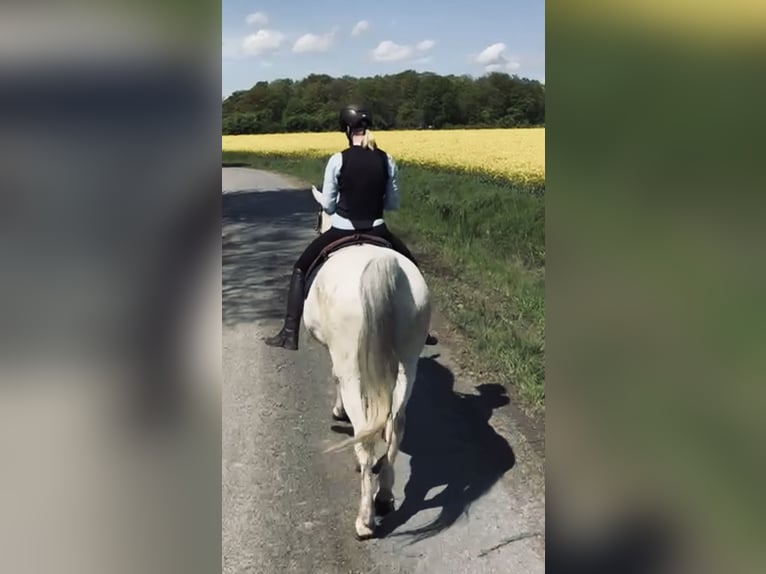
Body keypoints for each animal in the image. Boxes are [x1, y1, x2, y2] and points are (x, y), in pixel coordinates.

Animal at [304, 187, 432, 544]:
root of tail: (383, 265)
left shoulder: (340, 360)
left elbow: (334, 379)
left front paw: (338, 412)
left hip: (354, 371)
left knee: (364, 436)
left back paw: (365, 519)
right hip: (407, 365)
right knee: (396, 424)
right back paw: (385, 495)